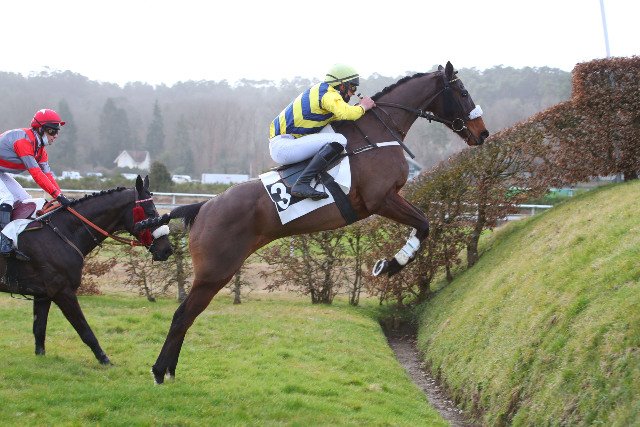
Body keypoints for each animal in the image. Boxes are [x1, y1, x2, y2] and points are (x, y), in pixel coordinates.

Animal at [0, 175, 172, 364]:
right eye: (151, 212)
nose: (167, 250)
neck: (62, 233)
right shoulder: (63, 291)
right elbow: (85, 330)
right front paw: (104, 359)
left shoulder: (43, 294)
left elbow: (39, 328)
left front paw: (41, 357)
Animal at [142, 61, 489, 384]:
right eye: (463, 92)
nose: (483, 133)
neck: (377, 135)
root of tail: (203, 207)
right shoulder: (382, 199)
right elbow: (425, 224)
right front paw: (390, 265)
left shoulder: (386, 200)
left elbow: (424, 224)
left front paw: (389, 263)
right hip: (214, 271)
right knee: (182, 315)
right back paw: (160, 370)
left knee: (187, 316)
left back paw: (168, 369)